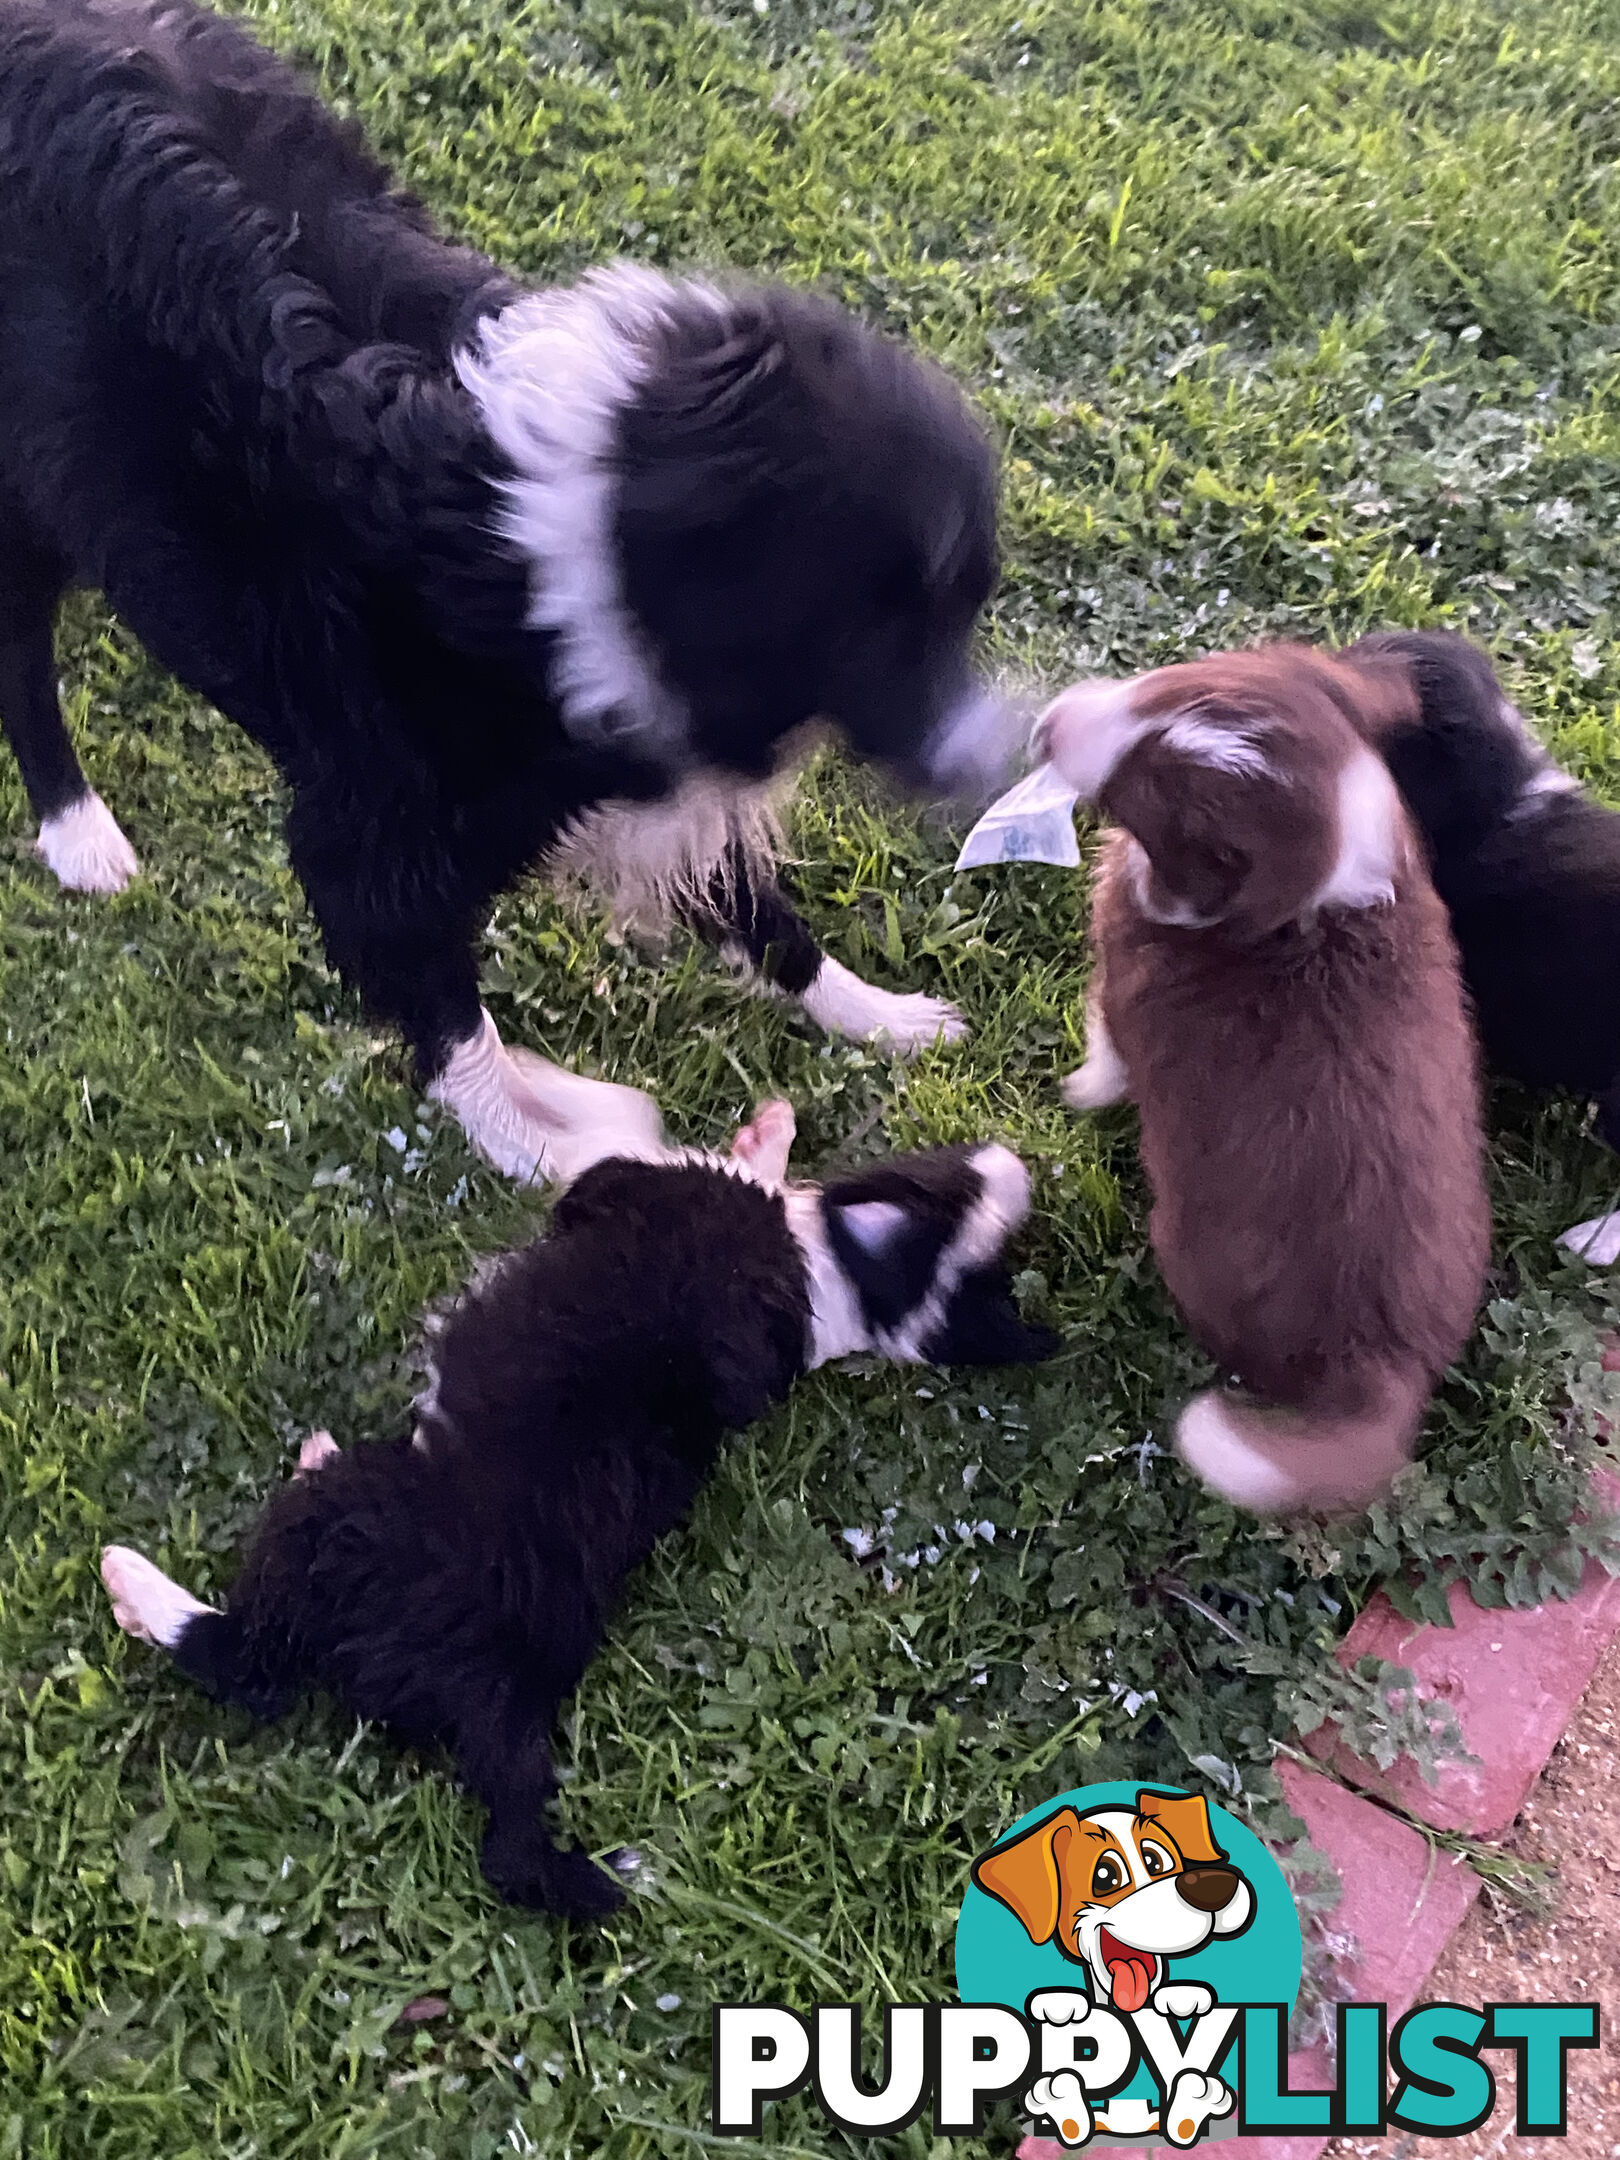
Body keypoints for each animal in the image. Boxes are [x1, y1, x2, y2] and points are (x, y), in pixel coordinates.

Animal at [3, 0, 1015, 1183]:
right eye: (878, 624)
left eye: (960, 610)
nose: (996, 759)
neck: (591, 535)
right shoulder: (369, 834)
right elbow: (454, 1033)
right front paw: (544, 1146)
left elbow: (761, 911)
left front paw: (880, 1018)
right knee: (20, 658)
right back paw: (78, 833)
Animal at [101, 1105, 1054, 1918]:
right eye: (949, 1180)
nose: (1019, 1163)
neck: (837, 1282)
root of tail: (501, 1688)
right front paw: (774, 1132)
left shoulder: (627, 1186)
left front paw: (759, 1134)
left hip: (327, 1534)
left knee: (237, 1653)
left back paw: (142, 1577)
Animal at [1045, 648, 1494, 1512]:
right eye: (1174, 678)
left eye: (1162, 789)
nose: (1046, 725)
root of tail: (1386, 1368)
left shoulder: (1120, 991)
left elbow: (1107, 1052)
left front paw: (1078, 1091)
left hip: (1186, 1251)